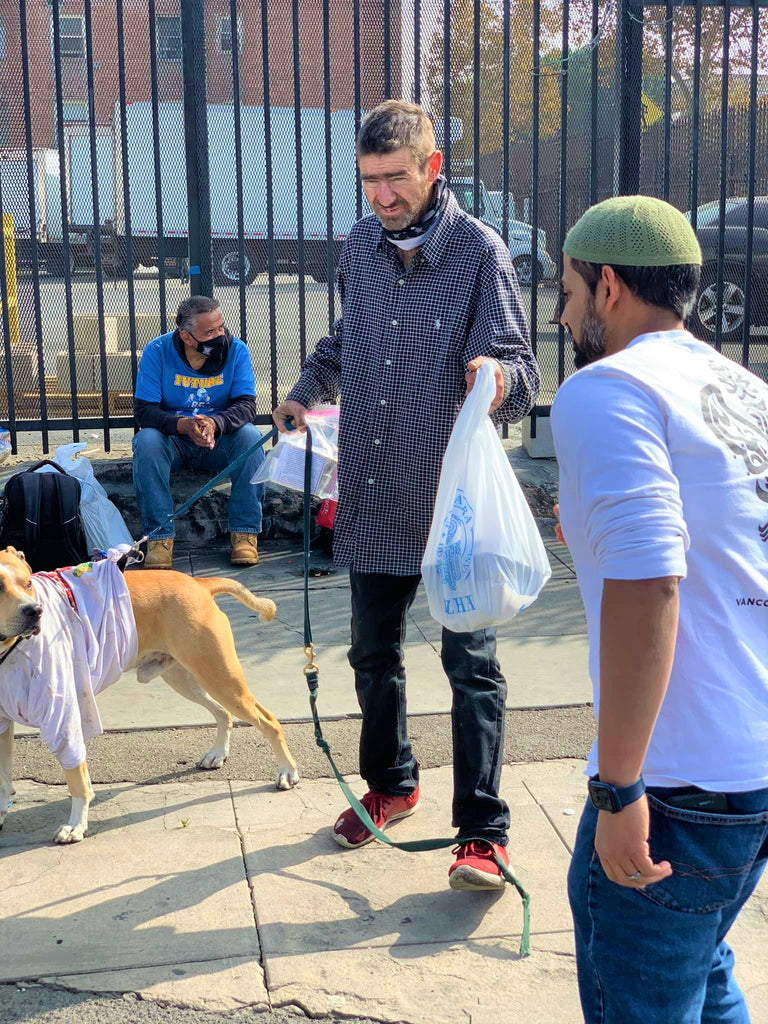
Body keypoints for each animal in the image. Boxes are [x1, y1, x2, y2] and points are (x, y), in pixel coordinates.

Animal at [0, 548, 301, 843]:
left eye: (28, 583)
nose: (36, 610)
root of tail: (198, 583)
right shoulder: (2, 726)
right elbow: (3, 780)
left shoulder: (63, 721)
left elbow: (77, 782)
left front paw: (75, 825)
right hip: (186, 679)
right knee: (222, 712)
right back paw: (217, 753)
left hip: (222, 679)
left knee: (269, 721)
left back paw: (287, 771)